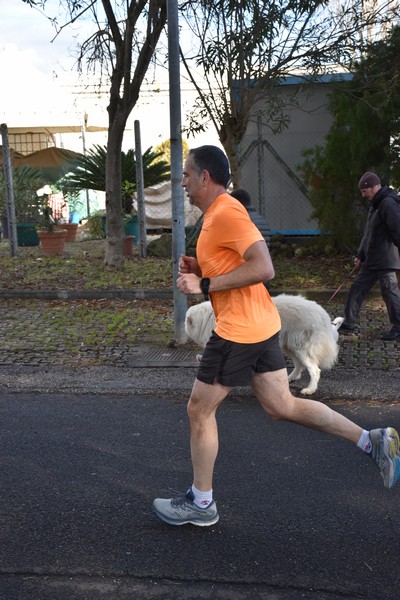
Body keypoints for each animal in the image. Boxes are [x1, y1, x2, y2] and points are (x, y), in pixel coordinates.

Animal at [184, 292, 344, 396]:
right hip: (290, 346)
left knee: (315, 370)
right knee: (299, 365)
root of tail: (324, 317)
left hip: (301, 347)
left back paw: (309, 390)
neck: (207, 318)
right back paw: (290, 379)